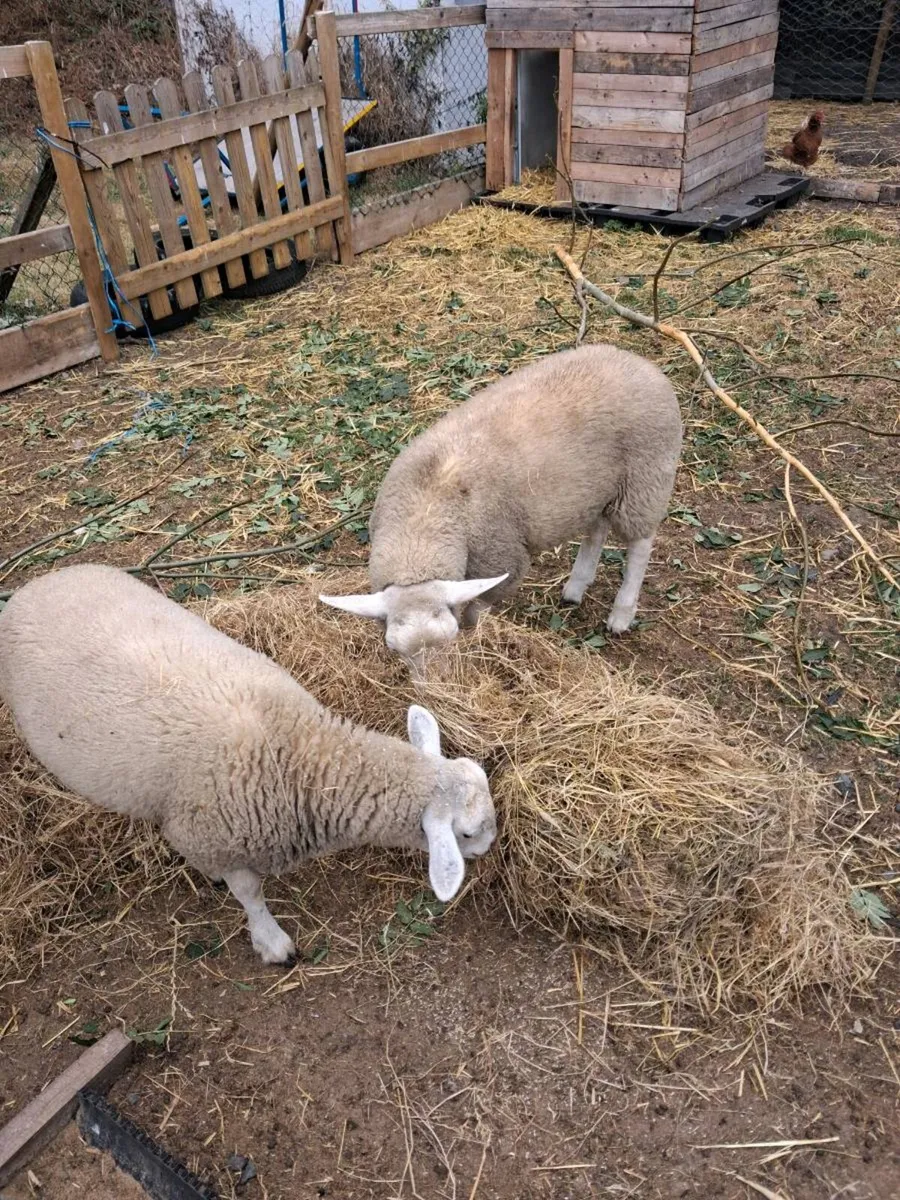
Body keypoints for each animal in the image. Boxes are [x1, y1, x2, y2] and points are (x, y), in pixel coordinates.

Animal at [0, 564, 496, 964]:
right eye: (468, 834)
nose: (490, 850)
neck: (299, 751)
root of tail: (34, 585)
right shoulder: (212, 836)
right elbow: (249, 893)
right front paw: (271, 941)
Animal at [320, 343, 682, 674]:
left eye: (451, 637)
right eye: (394, 649)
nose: (438, 692)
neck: (425, 516)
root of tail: (638, 361)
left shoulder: (501, 561)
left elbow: (476, 612)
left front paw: (478, 640)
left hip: (645, 477)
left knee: (641, 544)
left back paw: (622, 612)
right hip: (600, 488)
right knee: (597, 528)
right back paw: (576, 586)